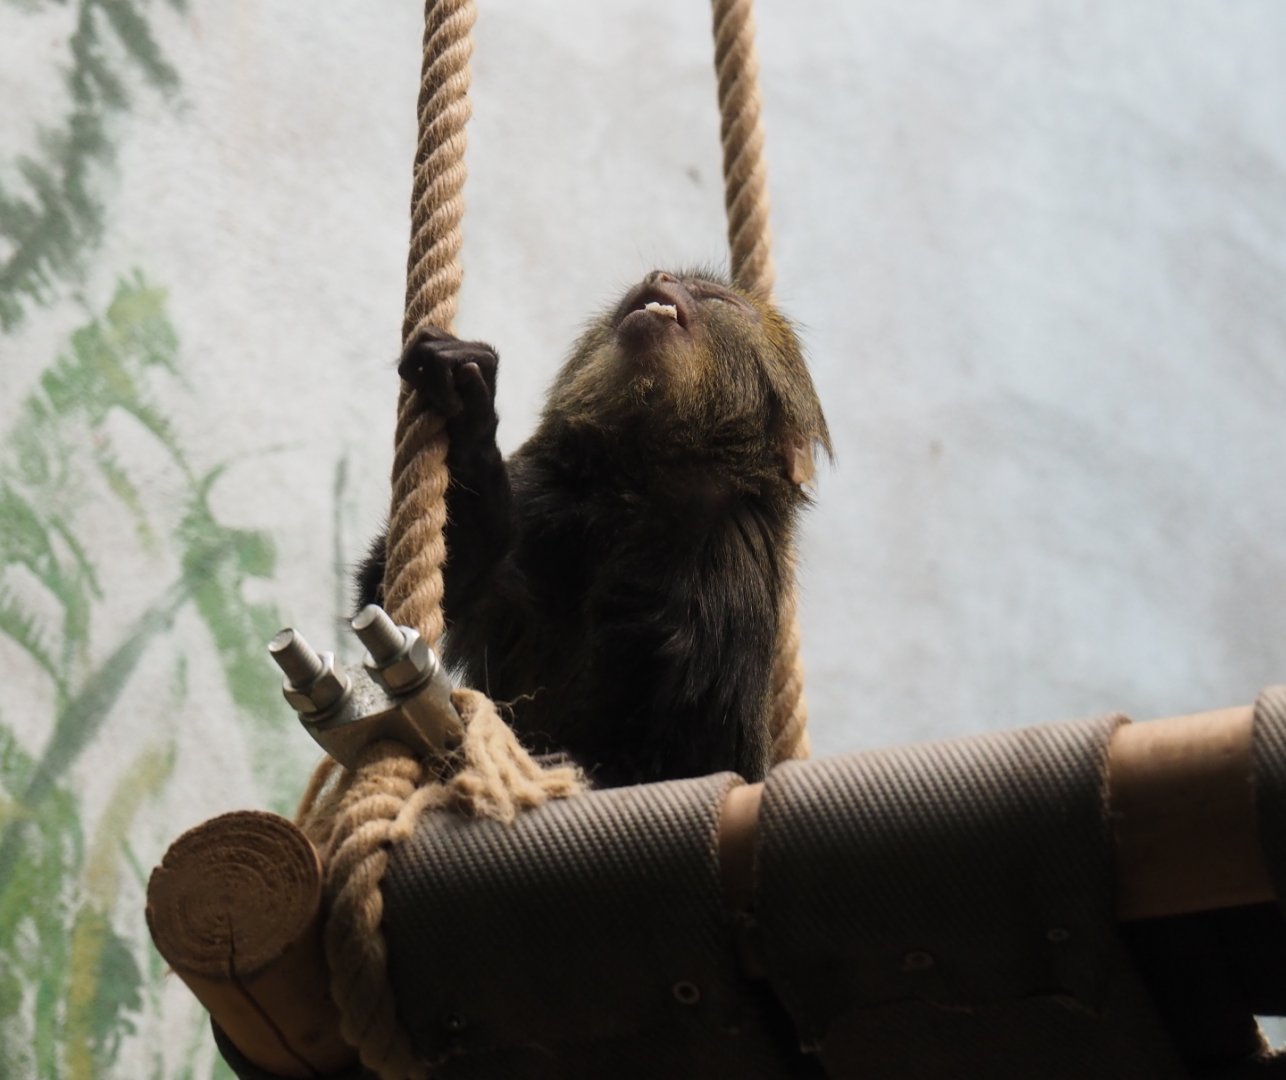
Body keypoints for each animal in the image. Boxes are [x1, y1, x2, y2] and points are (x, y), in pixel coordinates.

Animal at [357, 268, 830, 788]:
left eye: (715, 298)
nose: (661, 277)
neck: (642, 486)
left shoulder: (730, 564)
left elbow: (705, 758)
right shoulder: (546, 491)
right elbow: (385, 602)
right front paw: (467, 415)